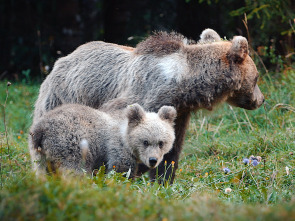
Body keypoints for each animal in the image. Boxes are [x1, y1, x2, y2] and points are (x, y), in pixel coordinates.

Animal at [33, 28, 266, 182]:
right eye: (256, 78)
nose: (261, 99)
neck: (182, 86)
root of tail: (60, 61)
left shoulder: (179, 113)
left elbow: (171, 152)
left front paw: (162, 179)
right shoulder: (139, 97)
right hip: (61, 96)